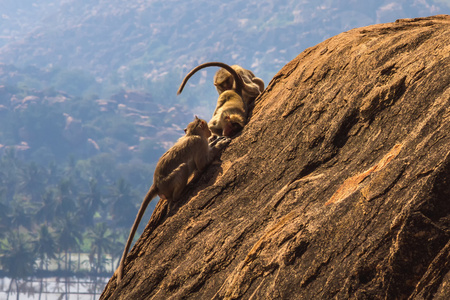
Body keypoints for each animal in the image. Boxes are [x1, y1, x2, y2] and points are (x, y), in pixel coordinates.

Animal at [117, 116, 229, 282]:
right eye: (207, 127)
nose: (210, 132)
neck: (191, 134)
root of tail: (156, 184)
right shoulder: (199, 143)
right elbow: (202, 165)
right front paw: (218, 144)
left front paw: (215, 141)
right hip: (169, 182)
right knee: (183, 169)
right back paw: (180, 194)